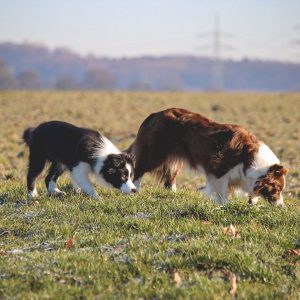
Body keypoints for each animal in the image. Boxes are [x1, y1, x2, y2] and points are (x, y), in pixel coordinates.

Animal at [127, 107, 288, 206]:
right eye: (277, 189)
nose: (282, 207)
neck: (249, 158)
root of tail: (154, 115)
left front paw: (253, 202)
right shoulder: (219, 170)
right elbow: (221, 191)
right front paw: (224, 206)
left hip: (175, 159)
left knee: (169, 179)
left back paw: (173, 193)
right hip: (156, 153)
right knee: (139, 169)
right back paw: (136, 190)